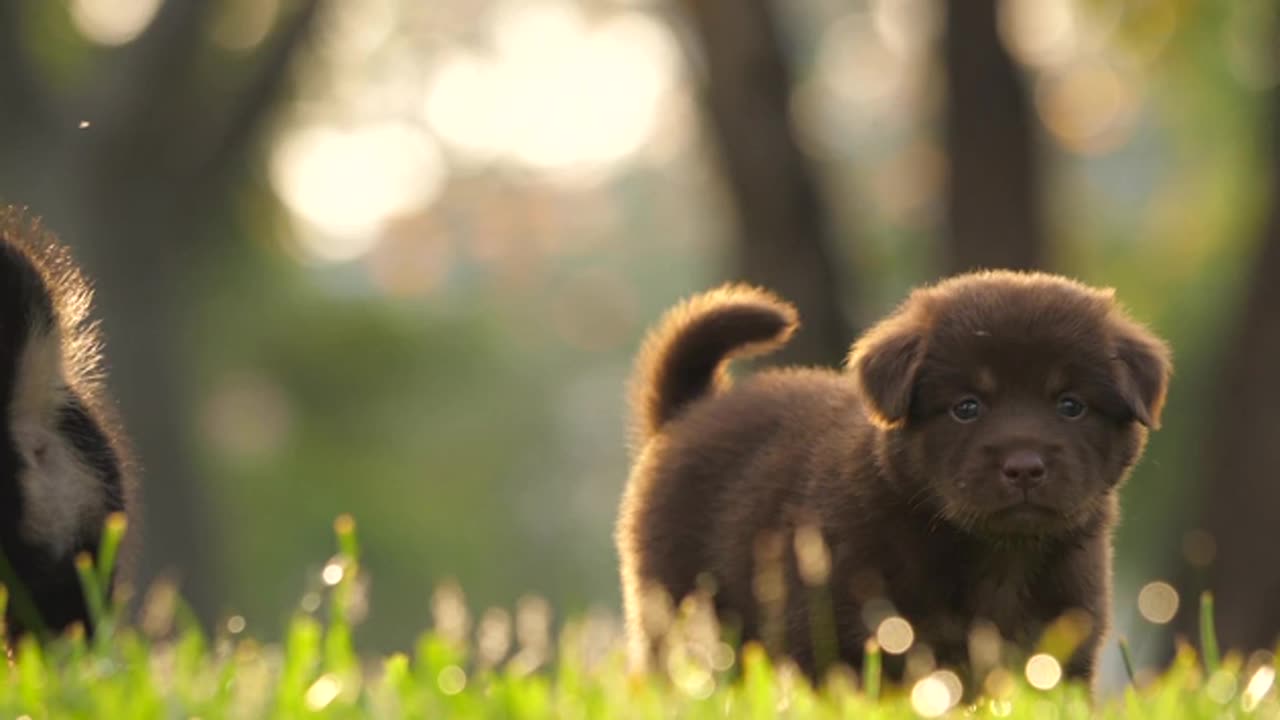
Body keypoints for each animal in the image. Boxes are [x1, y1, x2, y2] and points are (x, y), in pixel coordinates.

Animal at [616, 267, 1172, 681]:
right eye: (966, 407)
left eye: (1071, 405)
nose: (1024, 467)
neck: (995, 554)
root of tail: (689, 411)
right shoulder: (833, 634)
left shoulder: (1065, 641)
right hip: (681, 610)